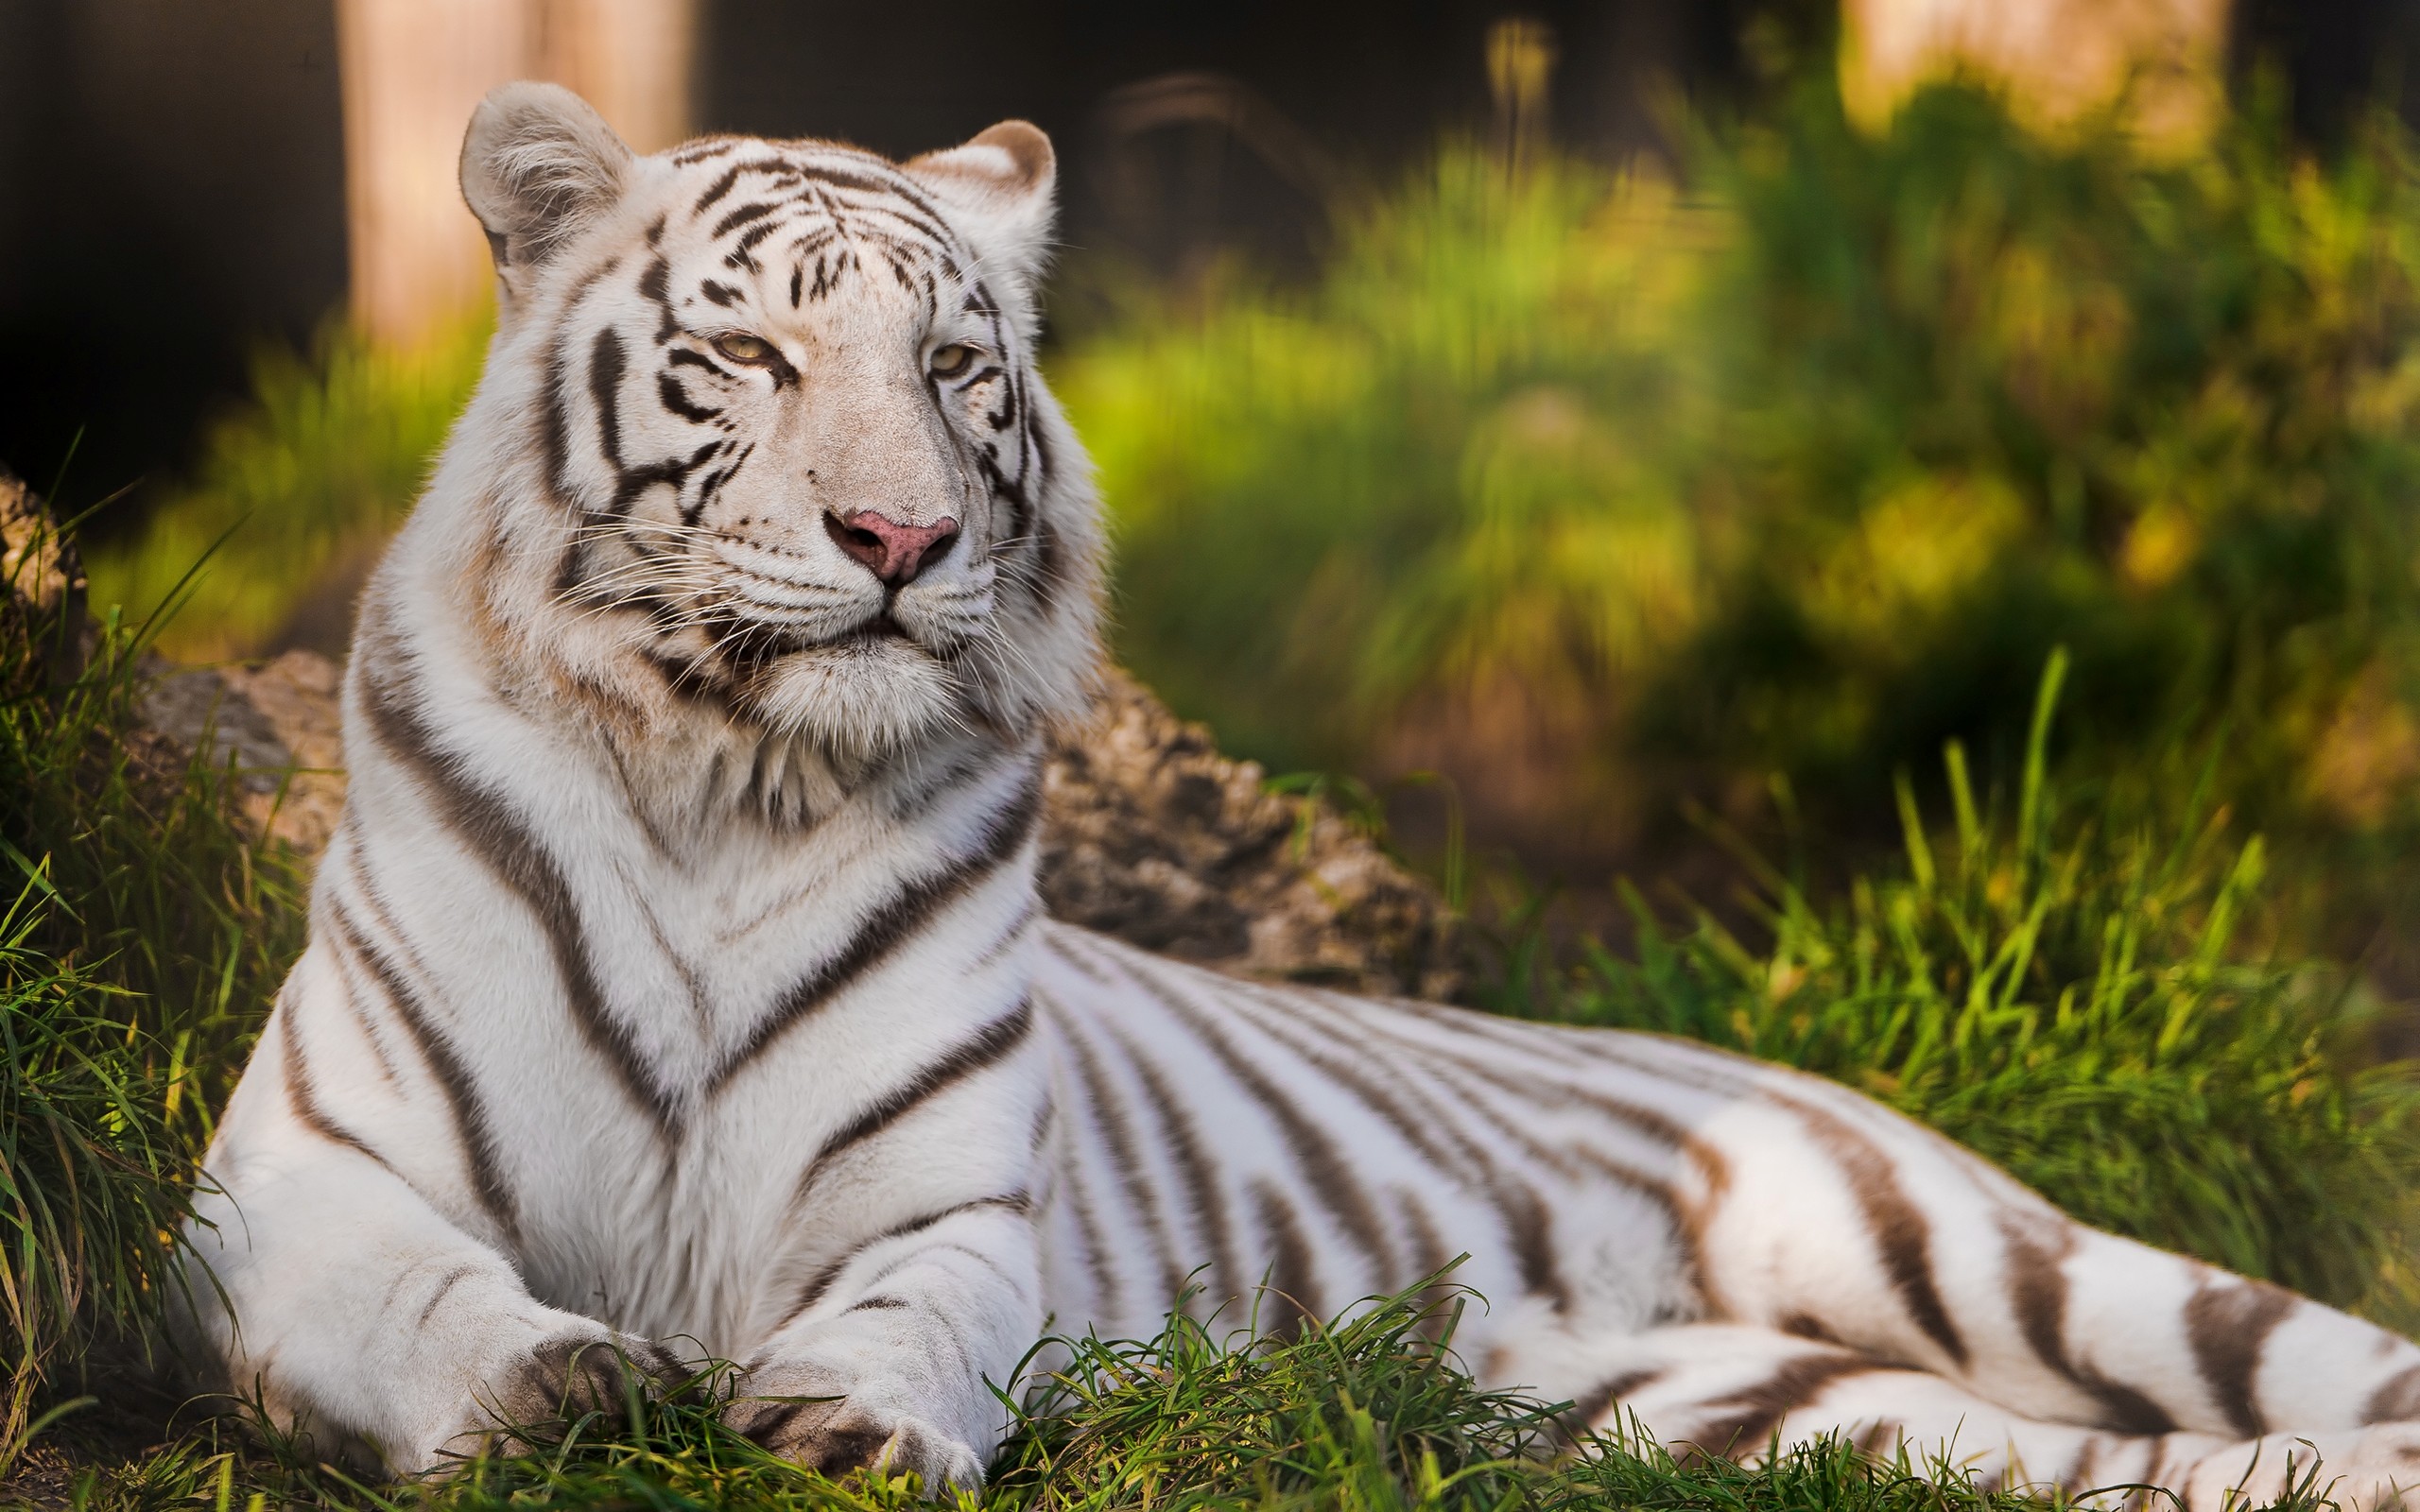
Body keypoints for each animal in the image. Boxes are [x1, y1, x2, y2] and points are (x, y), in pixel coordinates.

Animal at [175, 80, 2420, 1506]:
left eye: (960, 372)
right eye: (747, 360)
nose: (900, 538)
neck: (729, 773)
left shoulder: (949, 1203)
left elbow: (909, 1309)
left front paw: (839, 1416)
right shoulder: (296, 1178)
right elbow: (426, 1293)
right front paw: (565, 1383)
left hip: (1991, 1253)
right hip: (1758, 1414)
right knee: (2115, 1468)